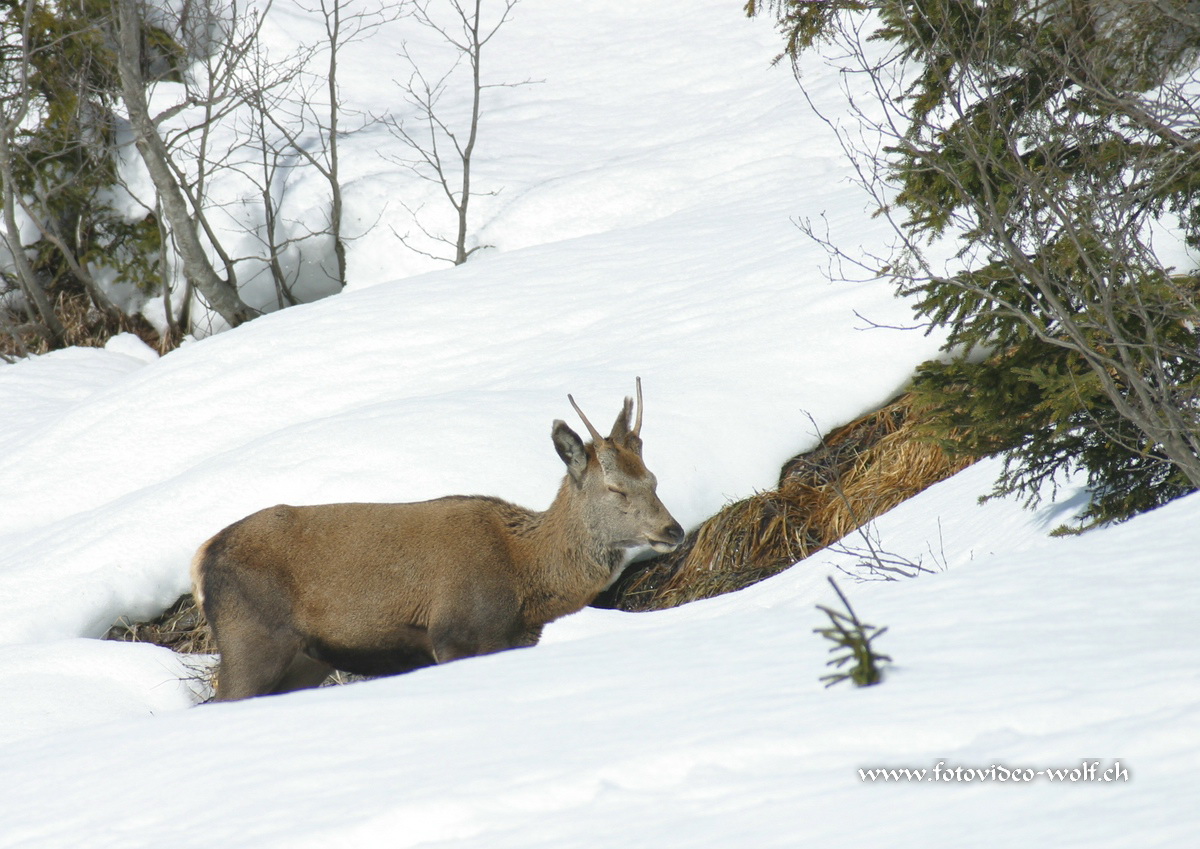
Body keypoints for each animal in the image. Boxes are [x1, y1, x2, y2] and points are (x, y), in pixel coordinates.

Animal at [194, 381, 686, 700]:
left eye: (653, 480)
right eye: (617, 489)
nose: (674, 530)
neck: (525, 579)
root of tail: (201, 560)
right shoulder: (455, 634)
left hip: (305, 659)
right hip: (250, 637)